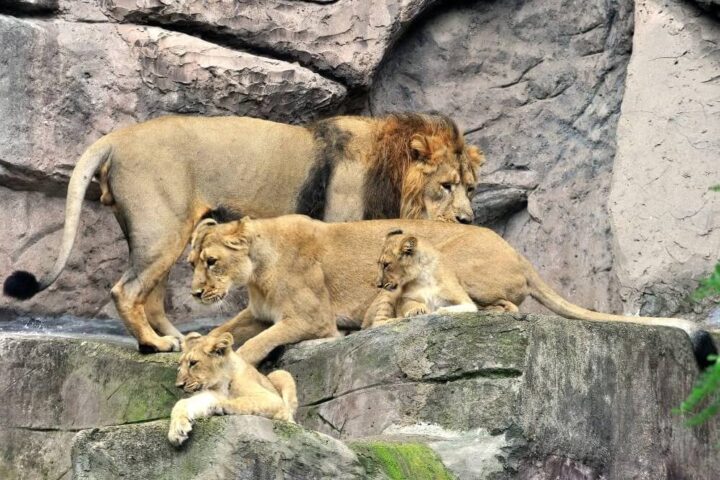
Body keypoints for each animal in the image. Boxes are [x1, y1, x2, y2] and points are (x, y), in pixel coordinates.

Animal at [4, 112, 484, 352]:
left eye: (471, 187)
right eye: (446, 186)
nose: (467, 220)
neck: (390, 171)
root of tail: (116, 138)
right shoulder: (338, 223)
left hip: (167, 233)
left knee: (151, 295)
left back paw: (178, 339)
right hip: (162, 230)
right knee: (126, 290)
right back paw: (154, 346)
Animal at [169, 330, 298, 446]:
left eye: (193, 363)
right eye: (179, 365)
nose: (178, 385)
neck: (221, 384)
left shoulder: (272, 399)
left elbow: (246, 401)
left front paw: (220, 405)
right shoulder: (210, 395)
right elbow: (182, 403)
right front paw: (176, 430)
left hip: (281, 373)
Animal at [188, 216, 712, 366]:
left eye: (210, 262)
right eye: (191, 262)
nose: (193, 294)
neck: (256, 268)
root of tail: (519, 251)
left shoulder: (312, 319)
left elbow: (260, 341)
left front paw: (234, 360)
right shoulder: (256, 311)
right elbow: (228, 327)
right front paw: (193, 343)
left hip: (448, 257)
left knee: (497, 304)